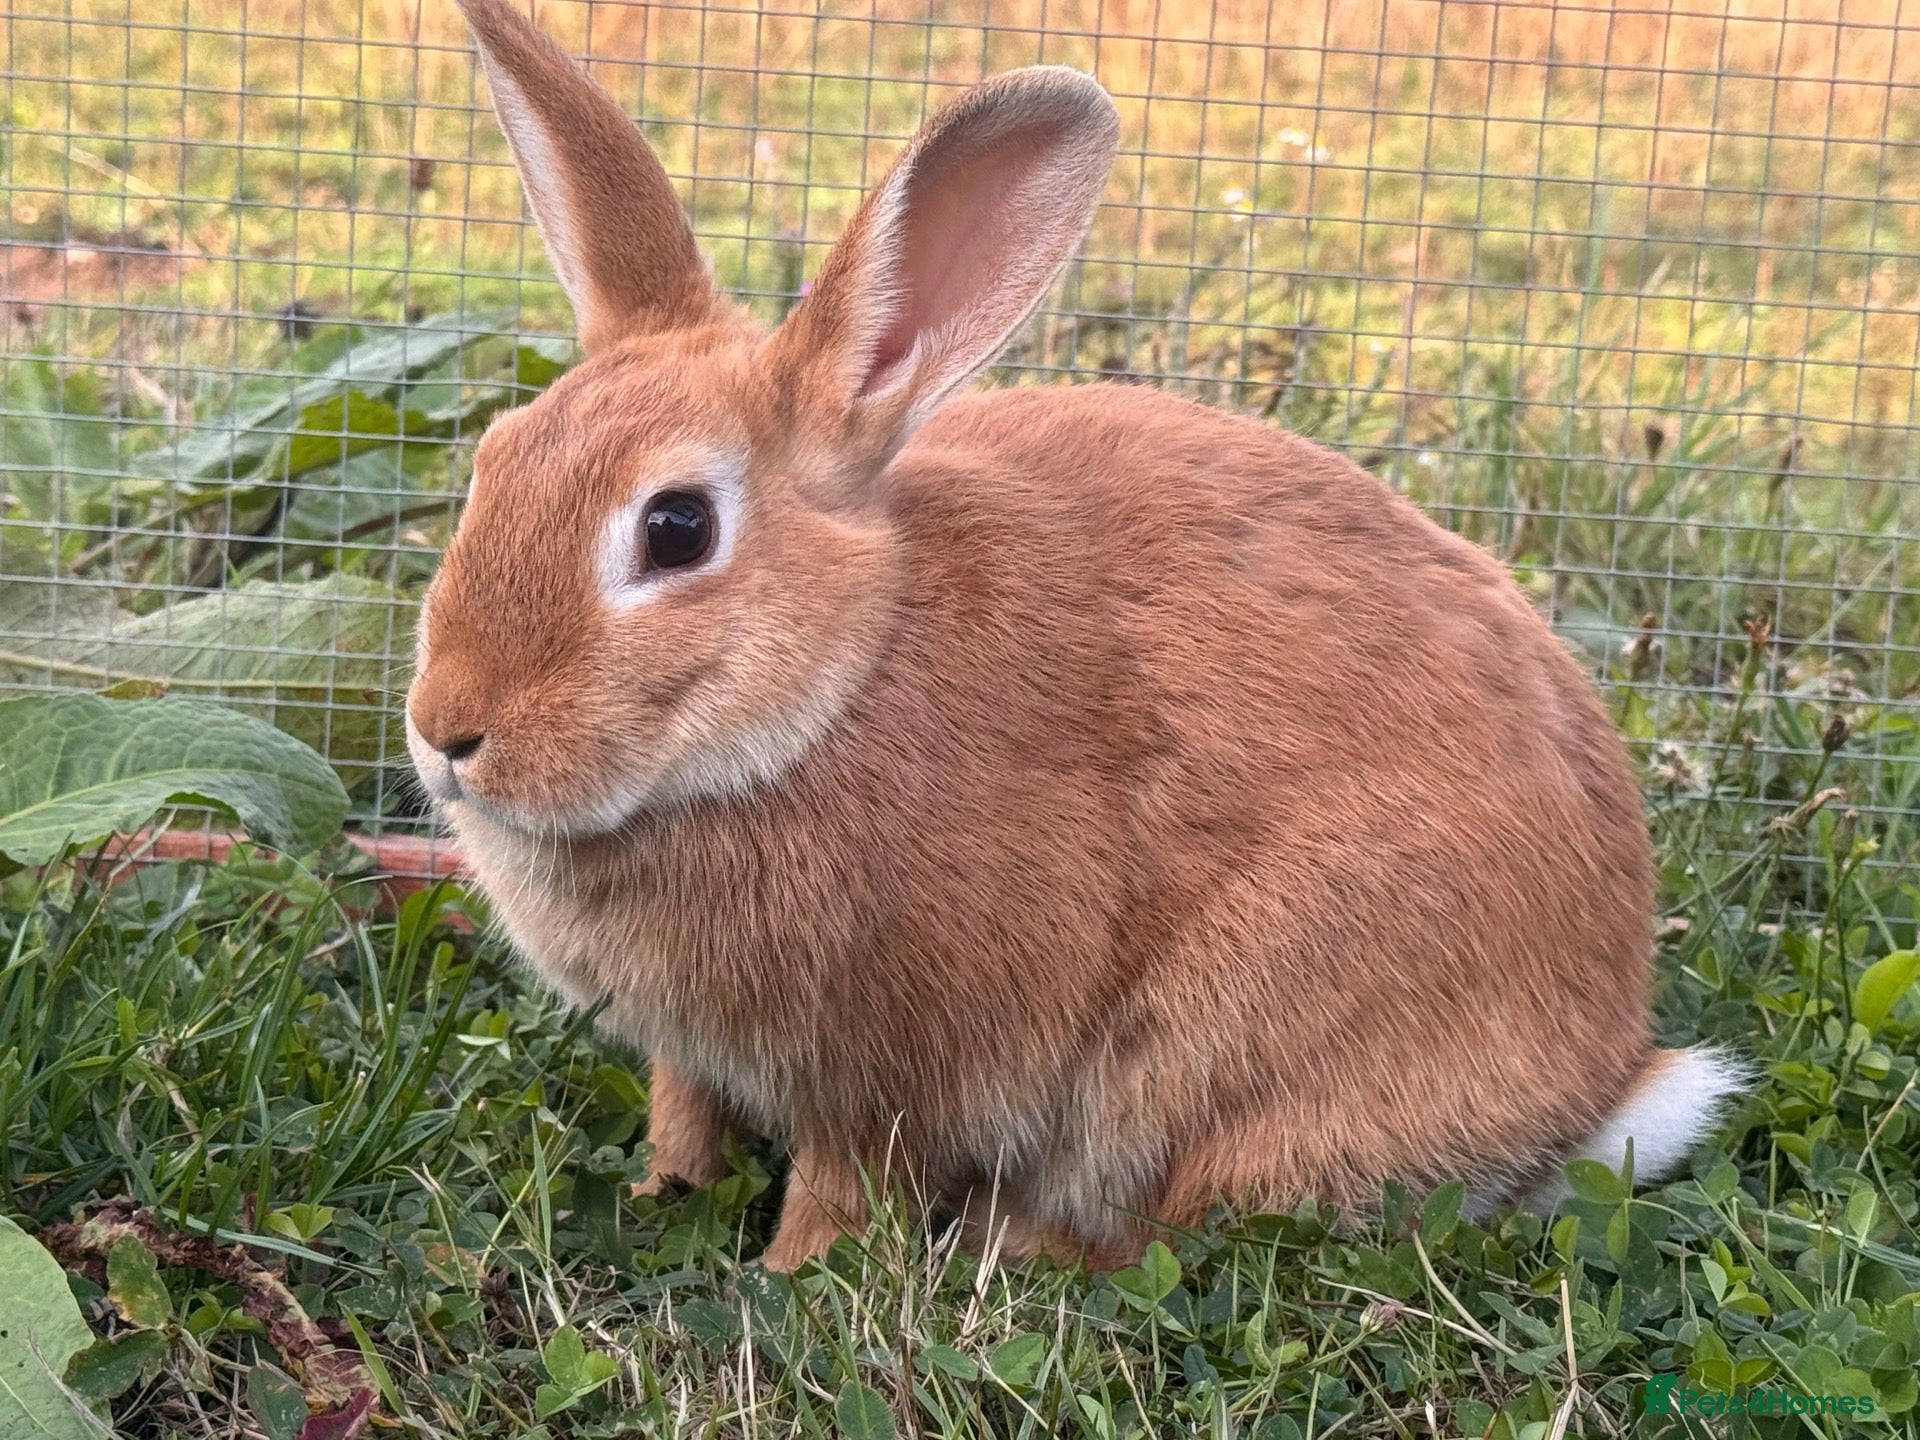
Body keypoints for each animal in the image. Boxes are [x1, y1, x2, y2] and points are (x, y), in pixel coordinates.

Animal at [407, 0, 1746, 1271]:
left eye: (677, 529)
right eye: (493, 461)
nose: (447, 734)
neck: (834, 689)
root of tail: (1596, 1088)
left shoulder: (894, 1077)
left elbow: (846, 1187)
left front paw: (785, 1274)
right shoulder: (689, 1057)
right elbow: (682, 1120)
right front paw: (659, 1199)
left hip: (1227, 1046)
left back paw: (1015, 1245)